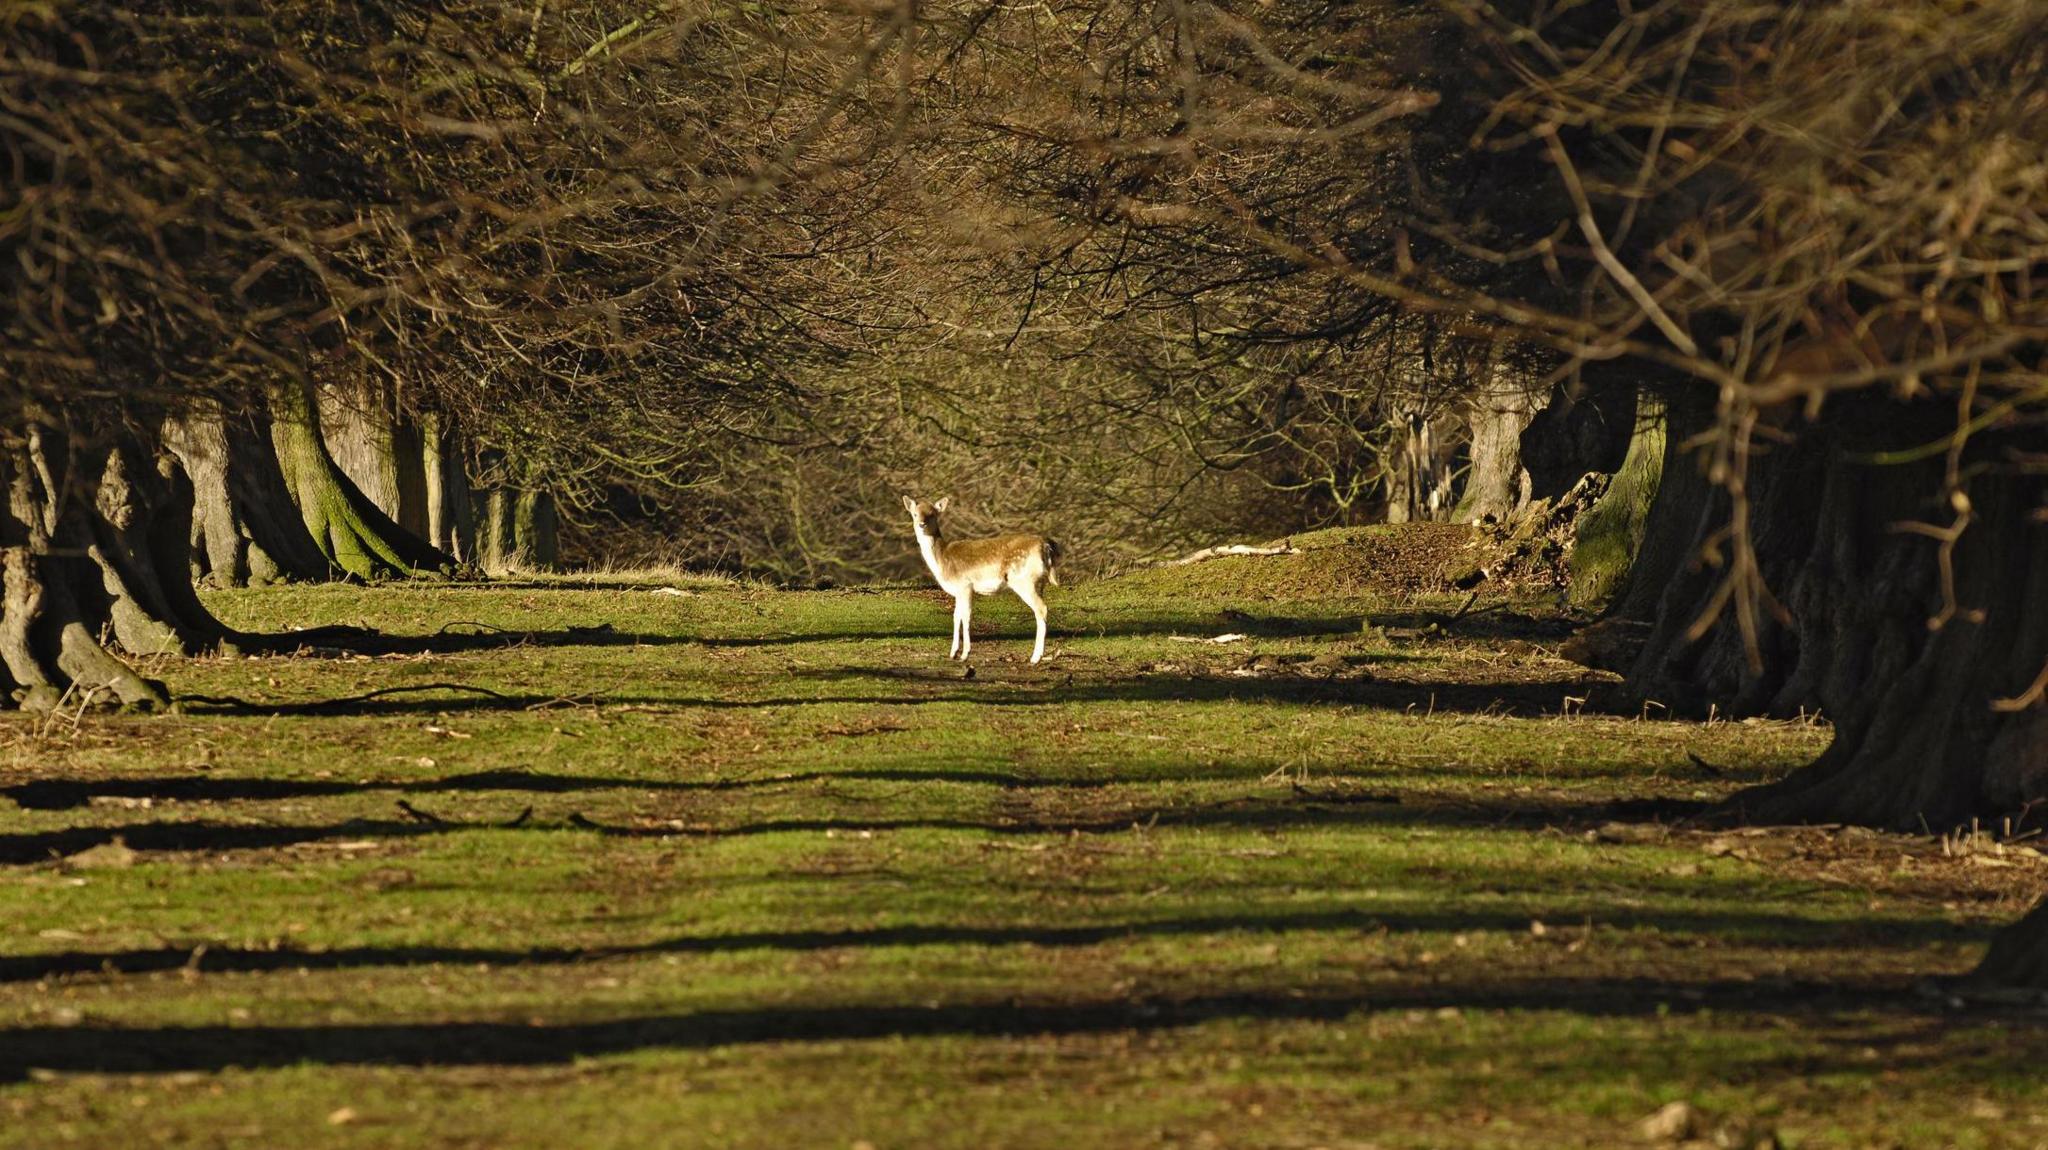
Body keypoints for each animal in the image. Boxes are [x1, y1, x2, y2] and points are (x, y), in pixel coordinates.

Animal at [909, 493, 1073, 662]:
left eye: (932, 514)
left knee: (1041, 608)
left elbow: (966, 616)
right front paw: (953, 652)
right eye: (914, 514)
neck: (942, 560)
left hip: (1023, 580)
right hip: (1039, 583)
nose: (921, 524)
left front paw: (965, 654)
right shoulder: (958, 591)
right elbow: (956, 617)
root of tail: (1046, 546)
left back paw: (1035, 658)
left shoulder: (965, 585)